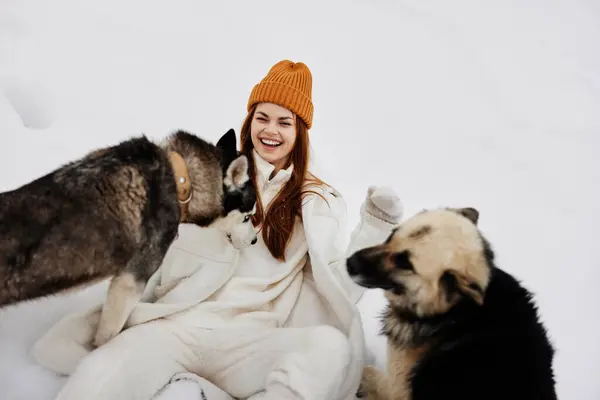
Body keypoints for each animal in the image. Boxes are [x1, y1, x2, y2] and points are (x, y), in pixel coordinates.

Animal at [346, 206, 556, 400]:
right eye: (392, 235)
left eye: (405, 263)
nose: (349, 263)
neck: (452, 312)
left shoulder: (398, 387)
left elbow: (371, 374)